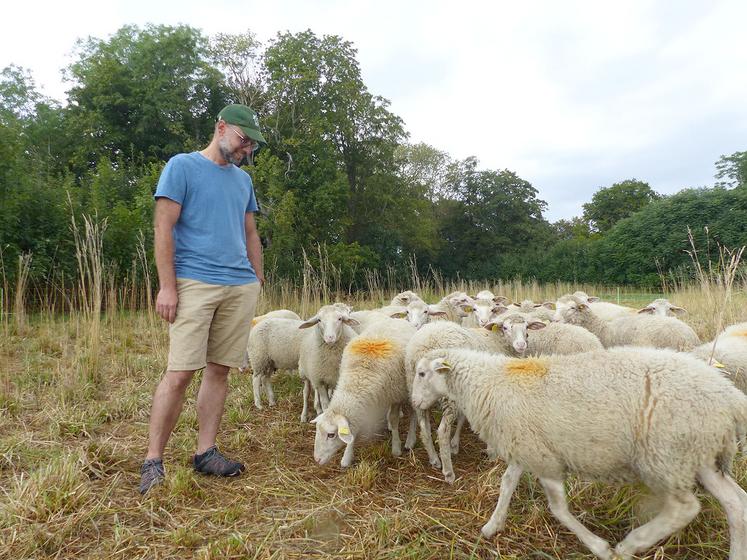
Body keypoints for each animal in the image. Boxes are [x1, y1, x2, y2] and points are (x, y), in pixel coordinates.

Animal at [310, 316, 414, 468]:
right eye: (317, 430)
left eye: (331, 435)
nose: (317, 459)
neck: (358, 379)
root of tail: (397, 319)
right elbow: (353, 431)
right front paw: (347, 457)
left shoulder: (396, 395)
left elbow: (394, 420)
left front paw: (396, 448)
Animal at [412, 346, 747, 560]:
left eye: (421, 373)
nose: (414, 403)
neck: (489, 382)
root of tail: (729, 396)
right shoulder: (527, 446)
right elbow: (506, 485)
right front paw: (492, 526)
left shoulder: (544, 458)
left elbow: (558, 509)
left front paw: (599, 548)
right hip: (698, 453)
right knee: (736, 503)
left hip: (666, 454)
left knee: (684, 508)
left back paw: (630, 546)